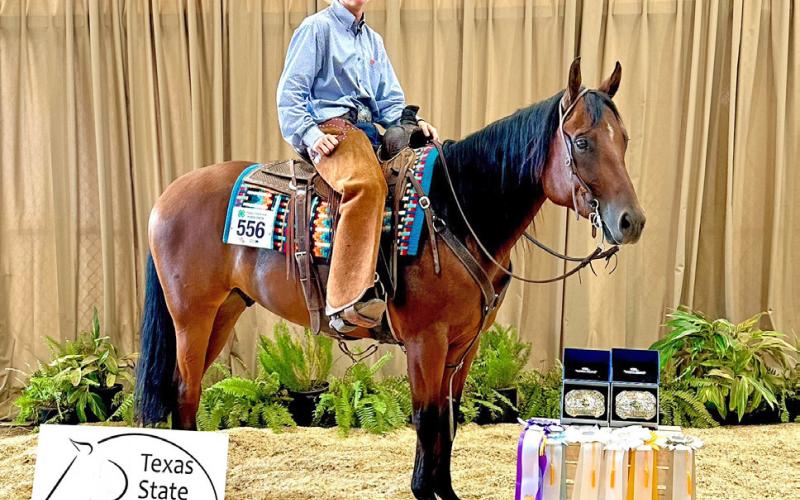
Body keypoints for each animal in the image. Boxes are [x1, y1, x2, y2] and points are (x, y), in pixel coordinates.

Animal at [134, 58, 645, 499]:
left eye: (624, 140)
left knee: (186, 392)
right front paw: (424, 489)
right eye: (582, 142)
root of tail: (167, 195)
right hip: (192, 317)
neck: (455, 211)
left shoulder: (464, 344)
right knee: (185, 391)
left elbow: (449, 420)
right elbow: (428, 418)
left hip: (225, 311)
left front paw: (443, 491)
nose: (631, 222)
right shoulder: (426, 341)